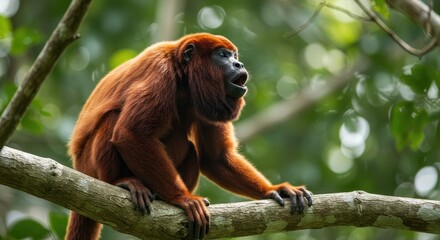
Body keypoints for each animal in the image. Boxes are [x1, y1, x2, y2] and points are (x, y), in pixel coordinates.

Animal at [66, 33, 312, 240]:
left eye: (234, 56)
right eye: (222, 55)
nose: (239, 64)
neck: (184, 77)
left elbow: (215, 158)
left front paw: (274, 190)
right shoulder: (160, 73)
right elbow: (131, 132)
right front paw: (182, 199)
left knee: (192, 150)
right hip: (90, 166)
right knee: (112, 119)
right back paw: (121, 182)